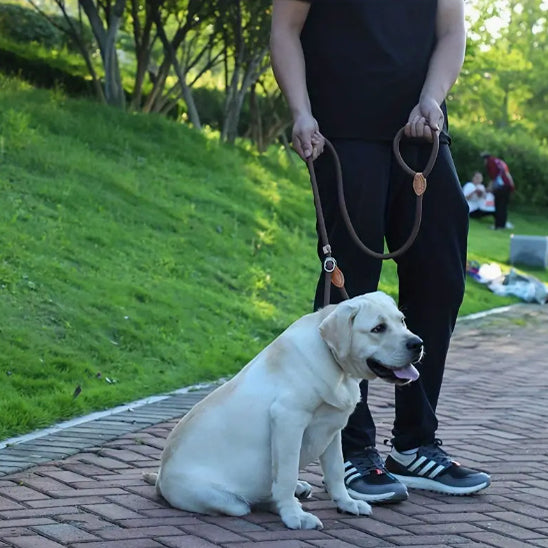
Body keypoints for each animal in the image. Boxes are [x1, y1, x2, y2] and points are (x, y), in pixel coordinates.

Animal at [143, 294, 422, 528]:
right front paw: (295, 516)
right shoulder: (288, 420)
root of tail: (159, 479)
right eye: (378, 328)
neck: (335, 364)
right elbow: (286, 474)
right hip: (226, 501)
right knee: (250, 502)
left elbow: (335, 471)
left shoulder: (332, 428)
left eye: (402, 320)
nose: (417, 343)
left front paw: (346, 503)